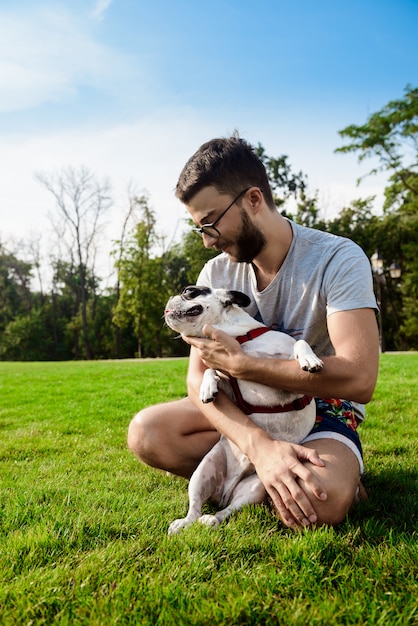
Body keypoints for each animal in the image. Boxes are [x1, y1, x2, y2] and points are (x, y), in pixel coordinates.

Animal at [164, 282, 324, 532]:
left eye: (189, 291)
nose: (170, 298)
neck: (239, 338)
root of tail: (225, 492)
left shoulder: (289, 382)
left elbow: (299, 342)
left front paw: (309, 359)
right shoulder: (231, 385)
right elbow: (212, 370)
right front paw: (207, 388)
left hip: (256, 486)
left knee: (226, 511)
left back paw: (212, 519)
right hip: (202, 472)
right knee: (195, 508)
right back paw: (185, 523)